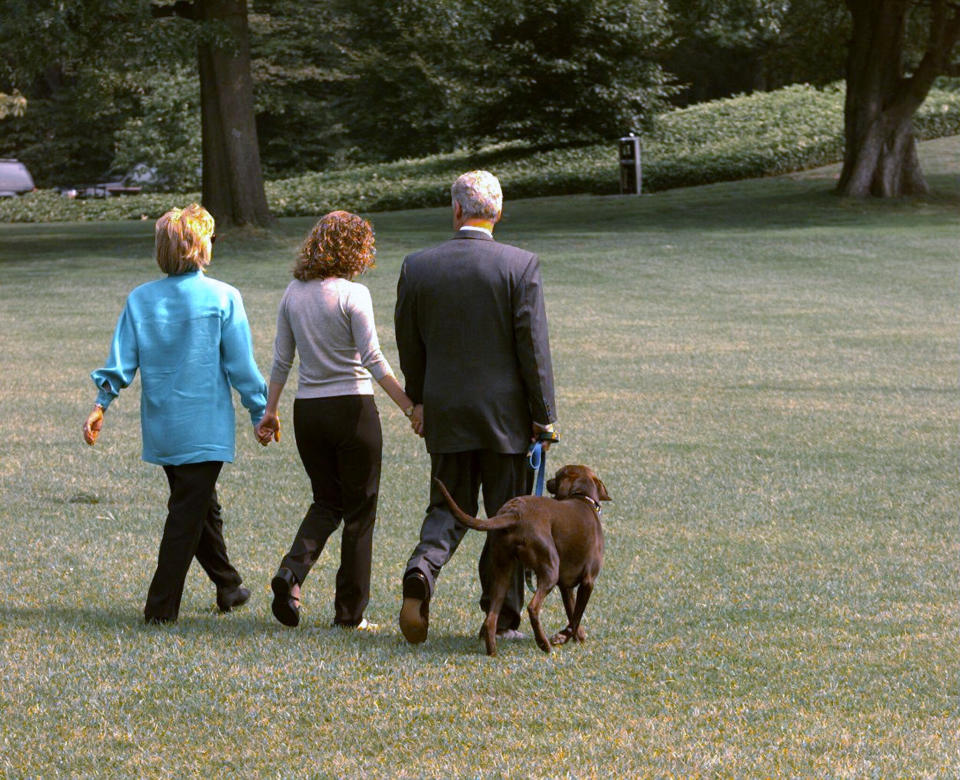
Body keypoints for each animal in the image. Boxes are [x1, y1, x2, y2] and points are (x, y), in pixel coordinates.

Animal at [434, 466, 612, 656]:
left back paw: (493, 652)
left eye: (556, 476)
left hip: (503, 573)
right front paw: (563, 637)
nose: (548, 481)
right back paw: (543, 644)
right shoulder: (588, 582)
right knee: (532, 608)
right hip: (550, 570)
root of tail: (514, 514)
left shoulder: (566, 586)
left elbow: (572, 613)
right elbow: (576, 616)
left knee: (491, 618)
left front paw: (574, 636)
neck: (583, 499)